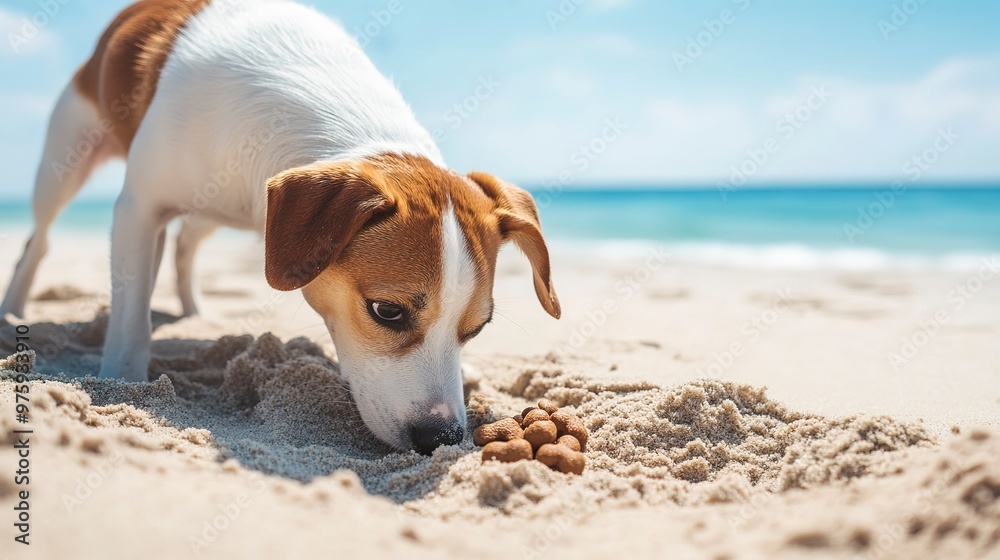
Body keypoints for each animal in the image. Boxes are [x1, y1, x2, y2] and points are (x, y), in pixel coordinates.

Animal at [0, 0, 560, 456]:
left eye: (478, 328)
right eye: (387, 311)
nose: (441, 437)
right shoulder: (137, 209)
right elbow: (131, 320)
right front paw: (122, 384)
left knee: (185, 243)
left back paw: (193, 310)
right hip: (63, 160)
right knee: (39, 239)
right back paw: (14, 309)